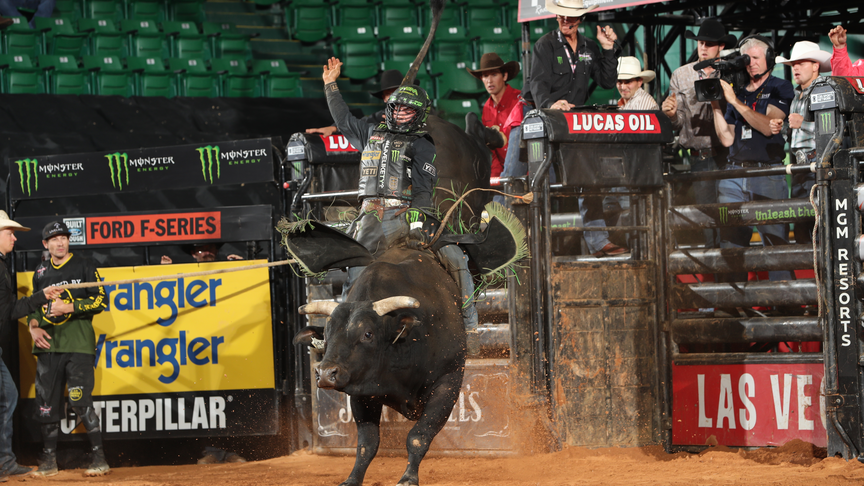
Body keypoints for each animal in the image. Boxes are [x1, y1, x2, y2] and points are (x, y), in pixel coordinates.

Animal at [296, 249, 466, 484]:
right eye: (327, 336)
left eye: (368, 334)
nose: (325, 373)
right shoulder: (361, 394)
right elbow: (367, 444)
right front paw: (352, 479)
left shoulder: (449, 380)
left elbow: (419, 436)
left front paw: (408, 478)